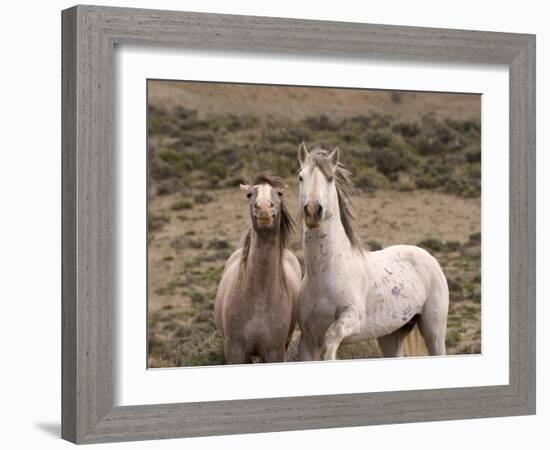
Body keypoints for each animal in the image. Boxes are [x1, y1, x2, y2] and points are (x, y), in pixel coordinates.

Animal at [215, 172, 302, 366]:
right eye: (249, 194)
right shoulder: (236, 351)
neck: (259, 298)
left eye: (279, 193)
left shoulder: (274, 351)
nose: (263, 209)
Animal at [298, 145, 448, 362]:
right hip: (391, 335)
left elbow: (332, 336)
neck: (326, 272)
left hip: (434, 331)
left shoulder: (352, 319)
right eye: (300, 177)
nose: (311, 211)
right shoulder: (308, 341)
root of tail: (429, 257)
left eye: (330, 178)